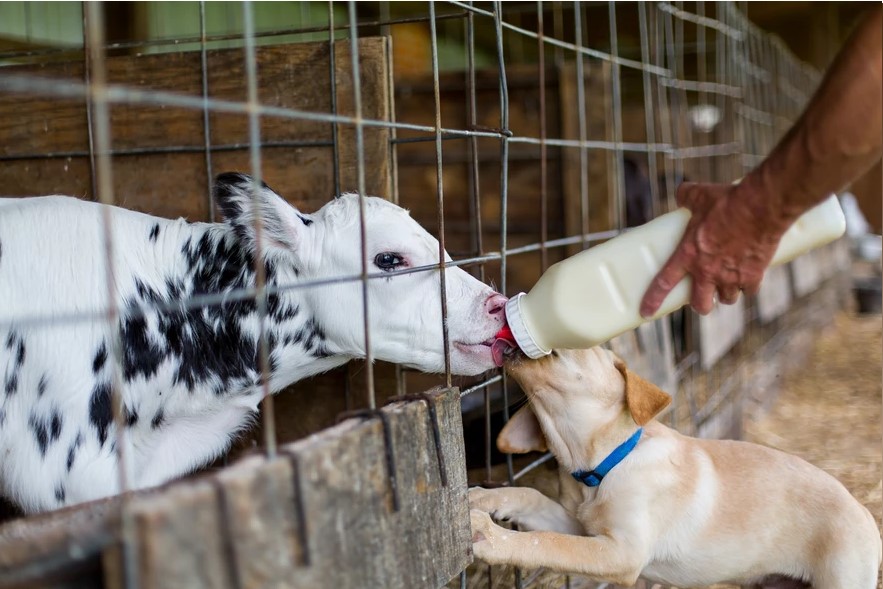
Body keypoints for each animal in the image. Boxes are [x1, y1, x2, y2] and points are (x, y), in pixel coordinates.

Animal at [470, 346, 883, 584]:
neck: (604, 466)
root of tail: (863, 509)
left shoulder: (623, 552)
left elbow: (549, 543)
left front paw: (491, 537)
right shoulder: (583, 527)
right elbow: (533, 499)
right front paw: (482, 500)